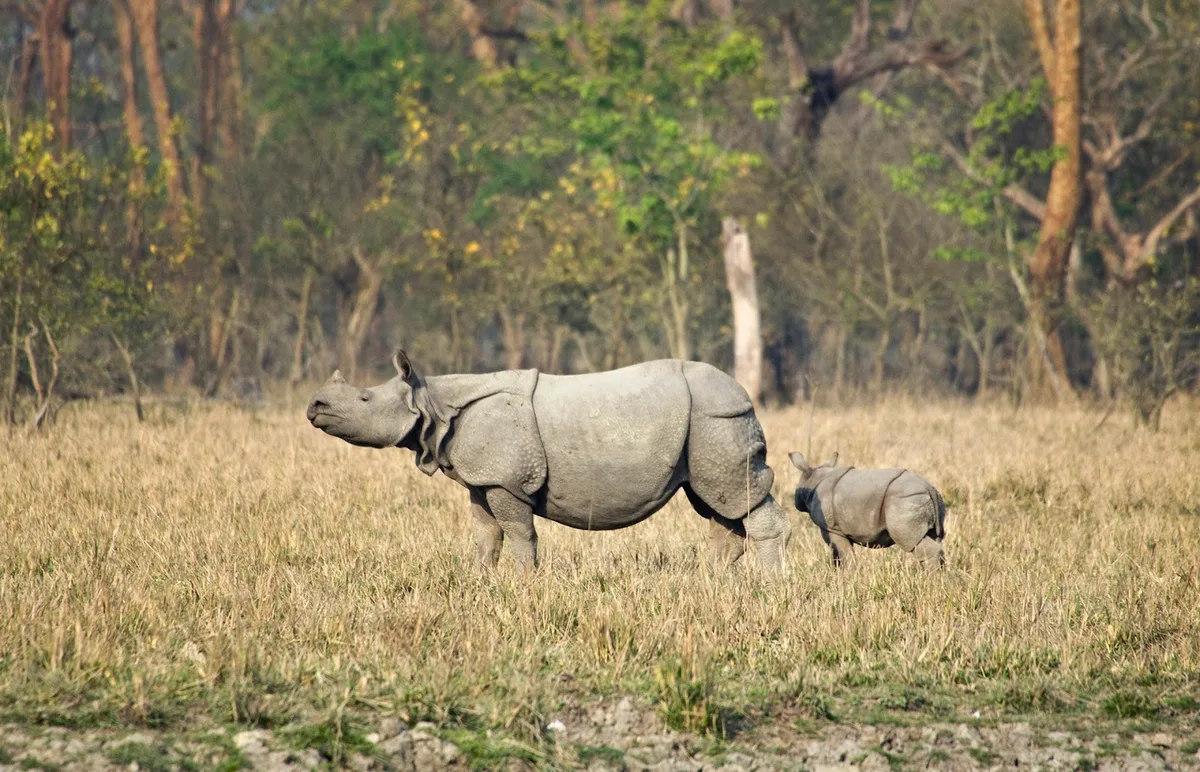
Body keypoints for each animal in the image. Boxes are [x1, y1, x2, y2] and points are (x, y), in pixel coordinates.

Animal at [306, 350, 792, 572]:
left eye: (364, 399)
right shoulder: (482, 478)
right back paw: (712, 581)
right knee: (717, 502)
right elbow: (486, 533)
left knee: (735, 495)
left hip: (716, 417)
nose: (314, 406)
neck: (434, 403)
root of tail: (744, 394)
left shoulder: (506, 479)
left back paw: (768, 585)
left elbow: (519, 531)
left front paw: (525, 580)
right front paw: (480, 579)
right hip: (706, 424)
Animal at [788, 452, 945, 568]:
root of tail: (929, 488)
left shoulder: (832, 528)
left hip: (903, 501)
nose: (795, 502)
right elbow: (840, 554)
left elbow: (842, 553)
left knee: (912, 542)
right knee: (933, 538)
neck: (815, 477)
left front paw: (846, 575)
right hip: (925, 499)